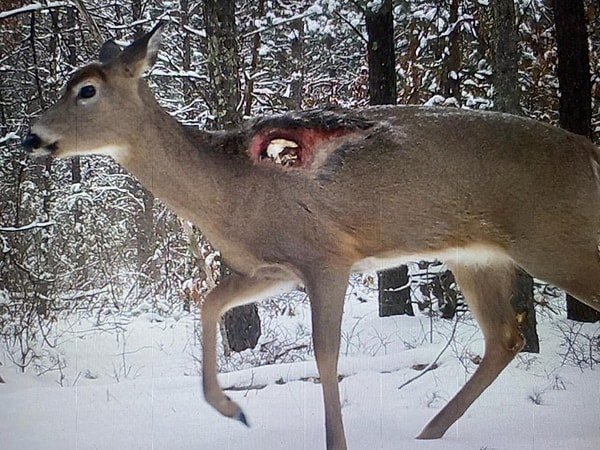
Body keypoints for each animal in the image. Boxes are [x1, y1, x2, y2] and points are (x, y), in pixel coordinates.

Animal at [21, 22, 596, 450]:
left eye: (87, 90)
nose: (31, 135)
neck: (231, 192)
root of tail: (588, 152)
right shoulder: (271, 266)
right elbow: (209, 304)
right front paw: (232, 409)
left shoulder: (327, 255)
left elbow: (325, 356)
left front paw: (332, 441)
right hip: (477, 255)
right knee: (505, 336)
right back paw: (428, 433)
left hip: (557, 239)